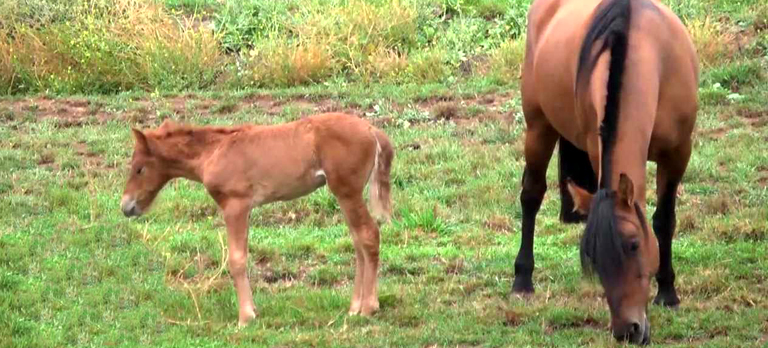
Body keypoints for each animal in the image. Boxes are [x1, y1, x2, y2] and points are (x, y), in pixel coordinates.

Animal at [121, 112, 396, 326]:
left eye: (139, 168)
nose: (126, 206)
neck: (214, 151)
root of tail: (372, 130)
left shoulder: (235, 206)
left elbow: (236, 259)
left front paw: (245, 317)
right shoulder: (245, 209)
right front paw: (252, 311)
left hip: (347, 191)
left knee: (368, 235)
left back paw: (369, 308)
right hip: (345, 194)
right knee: (359, 241)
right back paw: (354, 307)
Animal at [512, 0, 700, 344]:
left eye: (634, 245)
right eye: (595, 260)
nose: (629, 330)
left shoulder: (678, 152)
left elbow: (664, 220)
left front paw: (667, 293)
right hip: (538, 126)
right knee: (531, 195)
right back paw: (522, 280)